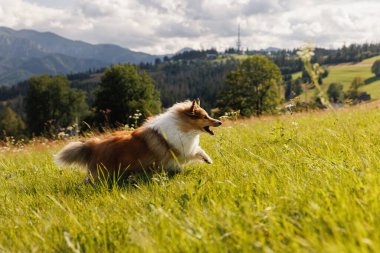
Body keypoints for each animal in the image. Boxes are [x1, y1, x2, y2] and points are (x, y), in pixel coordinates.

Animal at [53, 99, 220, 184]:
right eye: (205, 117)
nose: (219, 122)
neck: (181, 125)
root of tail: (93, 145)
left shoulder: (186, 150)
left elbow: (198, 151)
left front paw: (208, 160)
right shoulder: (176, 153)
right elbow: (182, 162)